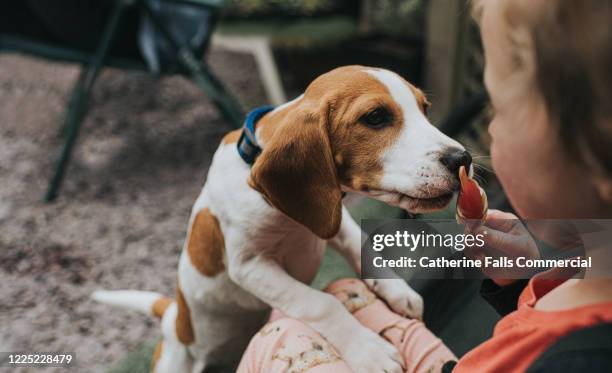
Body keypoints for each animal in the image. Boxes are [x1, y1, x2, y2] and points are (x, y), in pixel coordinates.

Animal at [93, 65, 470, 370]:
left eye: (425, 109)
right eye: (375, 117)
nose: (462, 158)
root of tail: (173, 317)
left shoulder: (331, 220)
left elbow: (363, 248)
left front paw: (396, 290)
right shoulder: (250, 266)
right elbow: (320, 302)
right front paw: (368, 350)